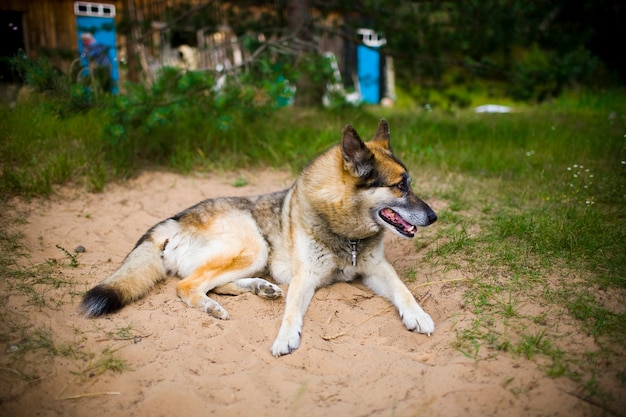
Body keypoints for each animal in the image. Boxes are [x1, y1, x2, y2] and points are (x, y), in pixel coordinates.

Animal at [80, 118, 436, 356]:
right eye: (400, 186)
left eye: (409, 184)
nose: (434, 216)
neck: (346, 233)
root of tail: (174, 221)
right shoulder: (305, 277)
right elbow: (292, 310)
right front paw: (285, 338)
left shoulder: (377, 269)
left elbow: (402, 290)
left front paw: (417, 315)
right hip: (253, 247)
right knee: (188, 286)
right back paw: (213, 307)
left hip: (253, 255)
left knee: (213, 283)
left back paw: (260, 288)